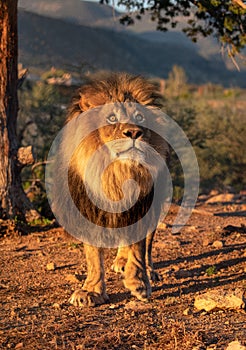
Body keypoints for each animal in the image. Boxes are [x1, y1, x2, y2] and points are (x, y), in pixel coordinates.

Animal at [52, 74, 169, 306]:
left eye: (140, 117)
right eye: (112, 118)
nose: (134, 132)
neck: (115, 175)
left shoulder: (142, 207)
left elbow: (139, 249)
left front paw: (138, 282)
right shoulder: (88, 211)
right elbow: (93, 257)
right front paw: (91, 291)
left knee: (148, 243)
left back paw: (147, 271)